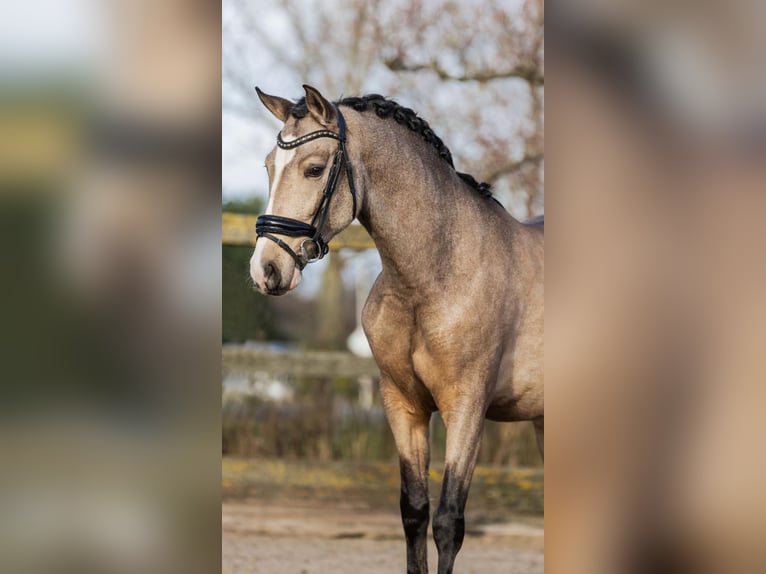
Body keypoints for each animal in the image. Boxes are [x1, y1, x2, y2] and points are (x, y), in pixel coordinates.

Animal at [249, 83, 544, 572]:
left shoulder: (466, 407)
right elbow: (414, 513)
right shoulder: (404, 405)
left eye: (314, 169)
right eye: (270, 167)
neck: (436, 274)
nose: (266, 270)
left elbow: (448, 521)